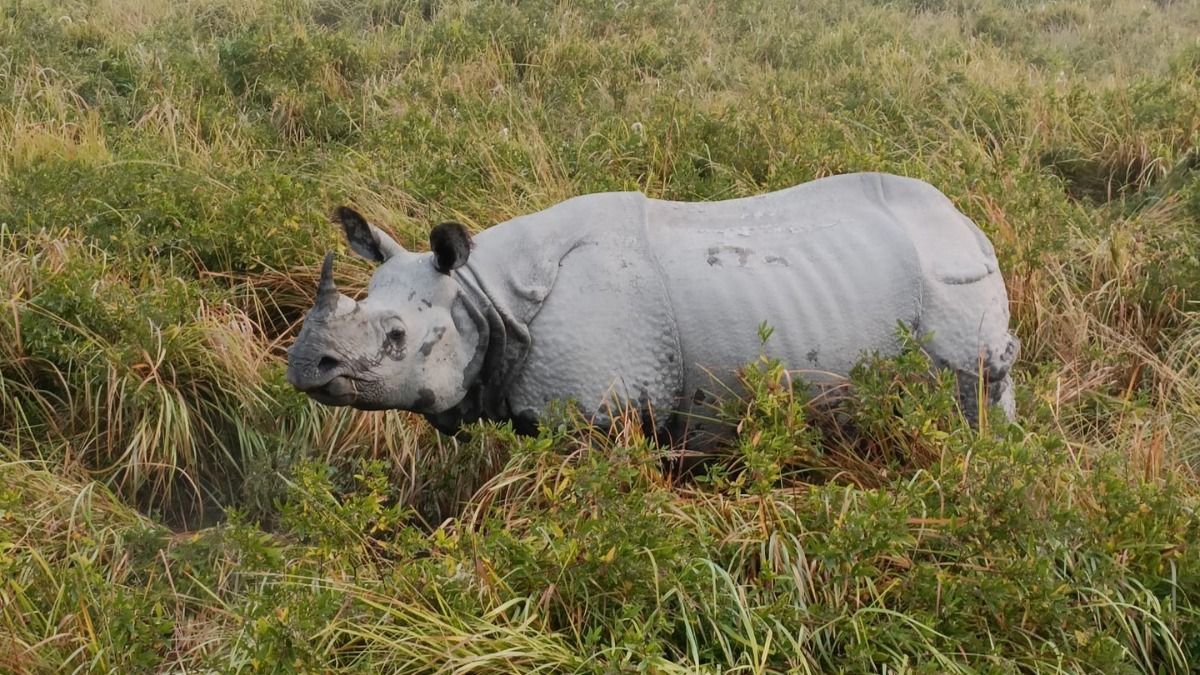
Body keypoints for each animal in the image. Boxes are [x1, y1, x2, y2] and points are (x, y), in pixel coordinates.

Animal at [286, 172, 1019, 443]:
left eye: (396, 336)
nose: (303, 366)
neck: (480, 294)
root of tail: (968, 221)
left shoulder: (599, 413)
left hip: (954, 279)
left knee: (975, 382)